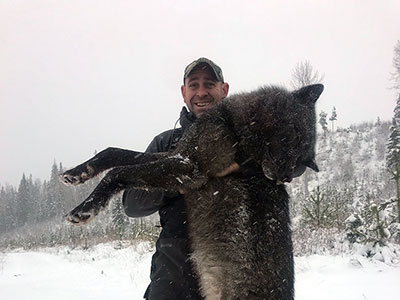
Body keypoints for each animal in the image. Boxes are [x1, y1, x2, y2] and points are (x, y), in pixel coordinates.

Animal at [61, 84, 324, 300]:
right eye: (295, 137)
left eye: (301, 161)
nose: (286, 177)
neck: (232, 127)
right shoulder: (177, 153)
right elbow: (114, 153)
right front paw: (78, 173)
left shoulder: (188, 168)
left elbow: (119, 172)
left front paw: (85, 209)